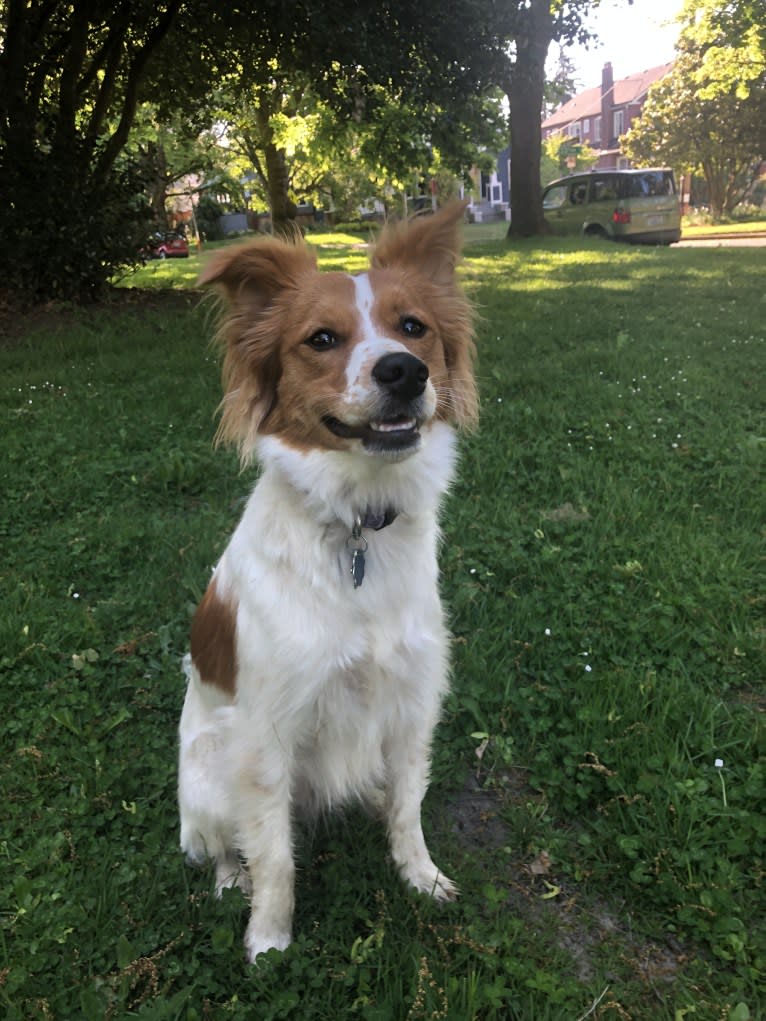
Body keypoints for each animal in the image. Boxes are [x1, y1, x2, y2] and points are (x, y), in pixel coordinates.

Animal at [179, 203, 480, 959]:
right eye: (322, 339)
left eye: (414, 327)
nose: (404, 371)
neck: (356, 529)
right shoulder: (267, 730)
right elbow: (273, 855)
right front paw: (268, 938)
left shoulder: (411, 700)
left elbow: (408, 806)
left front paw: (421, 876)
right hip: (210, 767)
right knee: (222, 844)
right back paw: (230, 880)